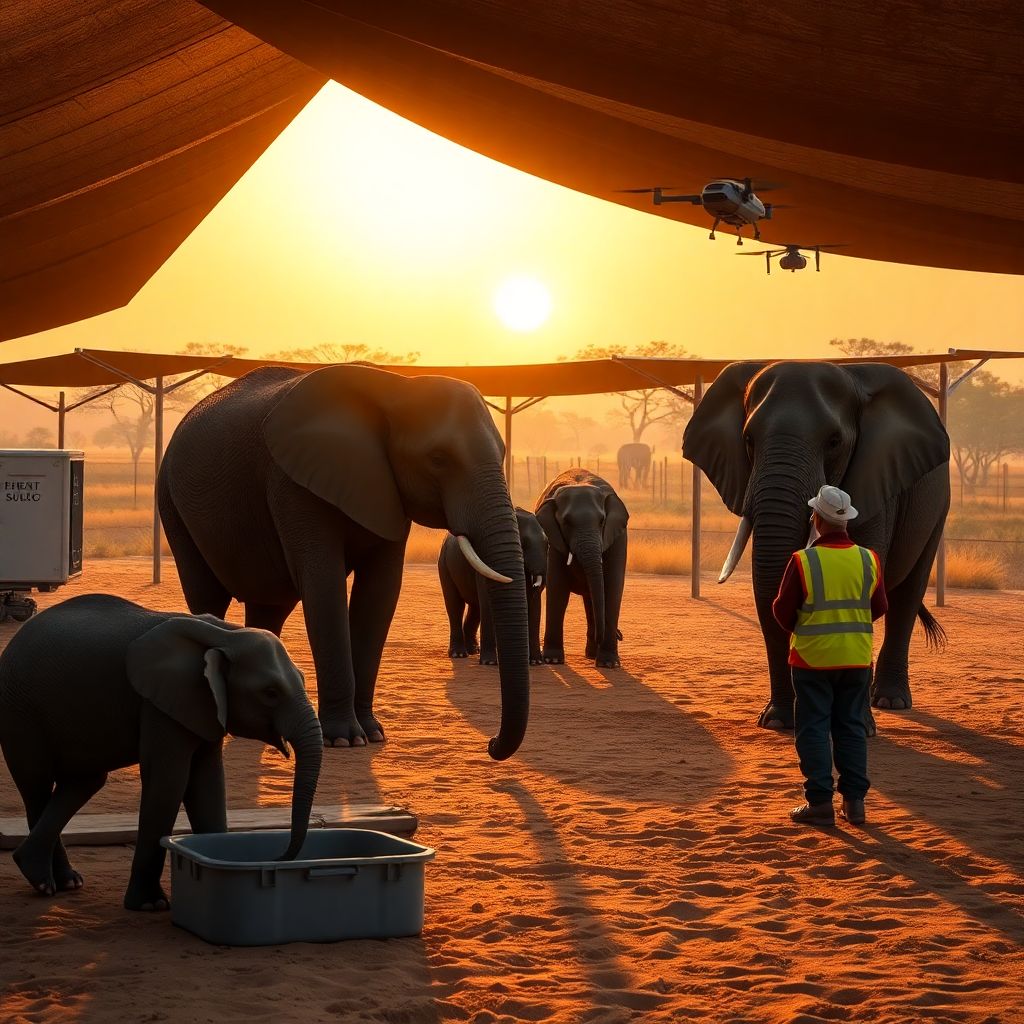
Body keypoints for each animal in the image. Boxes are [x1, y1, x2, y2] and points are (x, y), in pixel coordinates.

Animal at [0, 595, 322, 910]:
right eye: (270, 693)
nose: (279, 859)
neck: (225, 634)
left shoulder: (203, 704)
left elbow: (207, 784)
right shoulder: (160, 704)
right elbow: (170, 782)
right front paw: (150, 905)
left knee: (83, 782)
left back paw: (66, 881)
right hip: (20, 711)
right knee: (38, 785)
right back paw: (43, 880)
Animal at [158, 364, 530, 758]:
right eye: (438, 458)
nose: (490, 745)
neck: (395, 388)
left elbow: (380, 593)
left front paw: (372, 734)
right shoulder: (293, 485)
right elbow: (324, 585)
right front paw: (344, 739)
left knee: (269, 606)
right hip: (171, 501)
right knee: (207, 596)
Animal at [439, 508, 548, 665]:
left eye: (547, 544)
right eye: (523, 543)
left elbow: (534, 605)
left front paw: (536, 663)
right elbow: (488, 601)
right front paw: (489, 663)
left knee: (475, 608)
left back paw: (473, 650)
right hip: (444, 564)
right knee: (455, 605)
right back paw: (459, 654)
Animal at [536, 469, 629, 668]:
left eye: (602, 521)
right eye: (566, 522)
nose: (620, 635)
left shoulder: (618, 536)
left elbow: (612, 586)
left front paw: (609, 664)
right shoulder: (552, 535)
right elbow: (558, 588)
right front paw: (552, 660)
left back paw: (594, 655)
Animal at [683, 360, 950, 729]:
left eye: (834, 441)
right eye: (748, 440)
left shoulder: (875, 484)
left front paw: (858, 727)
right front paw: (777, 722)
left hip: (938, 506)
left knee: (909, 592)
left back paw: (890, 701)